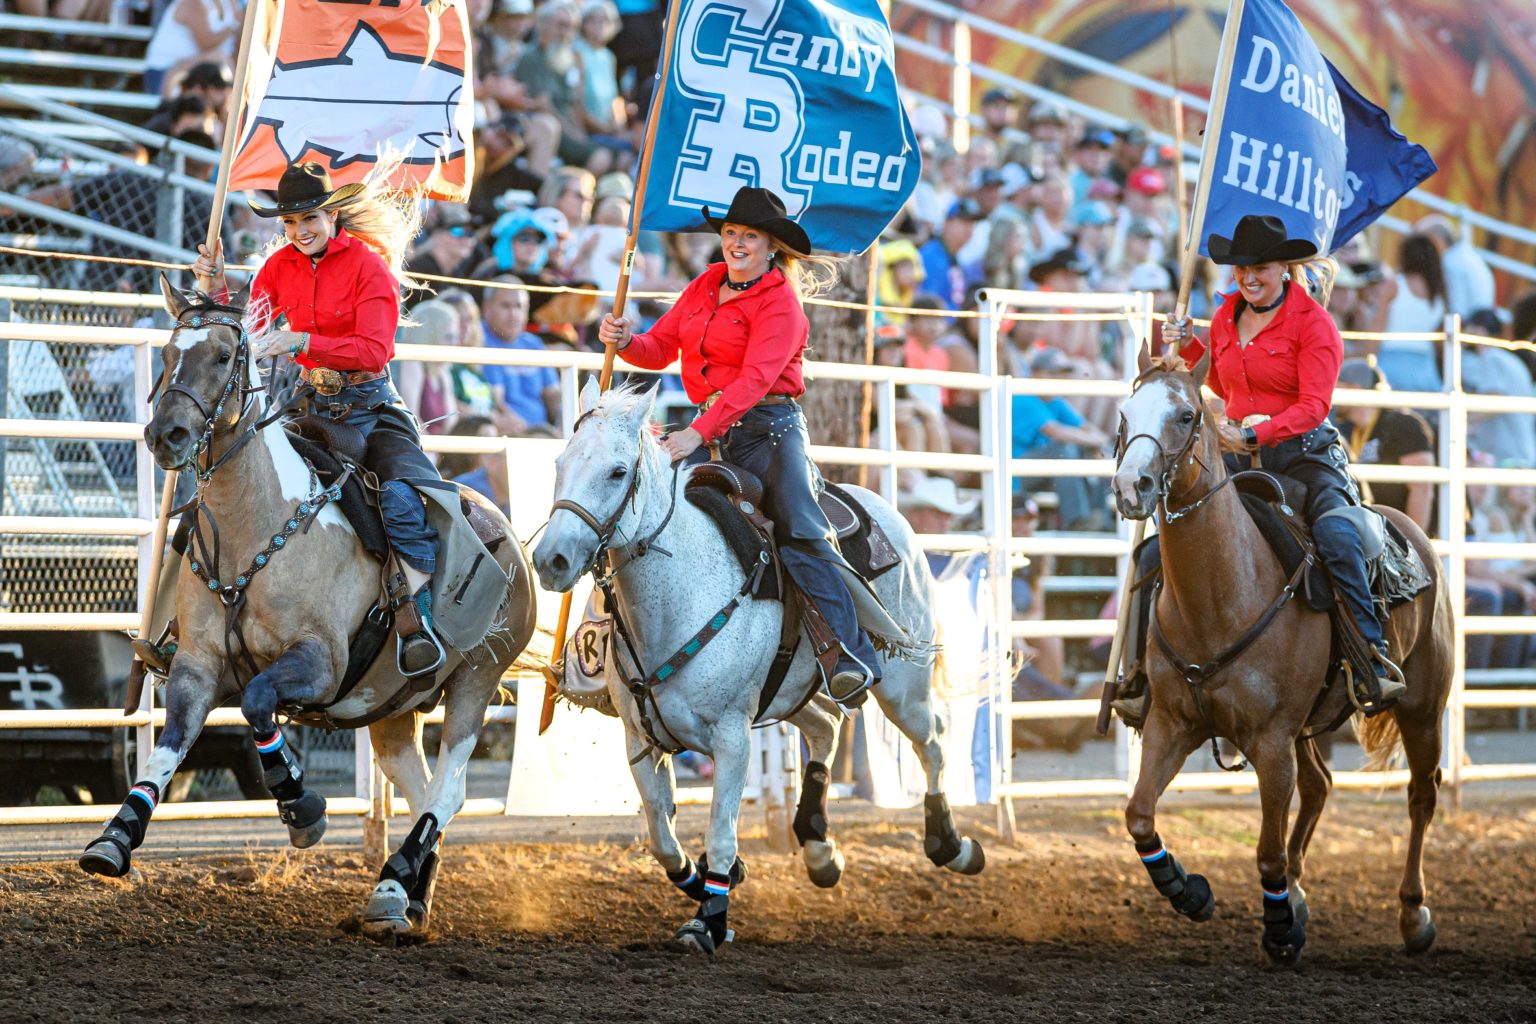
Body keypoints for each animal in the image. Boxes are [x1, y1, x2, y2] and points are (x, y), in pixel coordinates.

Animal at [528, 382, 983, 951]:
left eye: (616, 471)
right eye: (560, 463)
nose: (552, 560)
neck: (679, 597)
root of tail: (884, 507)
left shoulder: (732, 738)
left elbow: (721, 832)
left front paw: (708, 919)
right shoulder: (641, 740)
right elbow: (661, 836)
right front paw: (703, 879)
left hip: (902, 687)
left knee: (933, 740)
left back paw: (951, 845)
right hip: (791, 693)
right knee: (827, 726)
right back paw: (818, 847)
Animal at [1105, 348, 1449, 964]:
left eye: (1188, 415)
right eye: (1126, 413)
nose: (1131, 485)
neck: (1220, 595)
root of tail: (1411, 529)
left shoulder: (1269, 739)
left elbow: (1266, 849)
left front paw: (1280, 931)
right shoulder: (1172, 723)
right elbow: (1140, 816)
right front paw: (1189, 892)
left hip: (1422, 708)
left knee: (1420, 795)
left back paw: (1413, 915)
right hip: (1308, 727)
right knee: (1320, 786)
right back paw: (1300, 894)